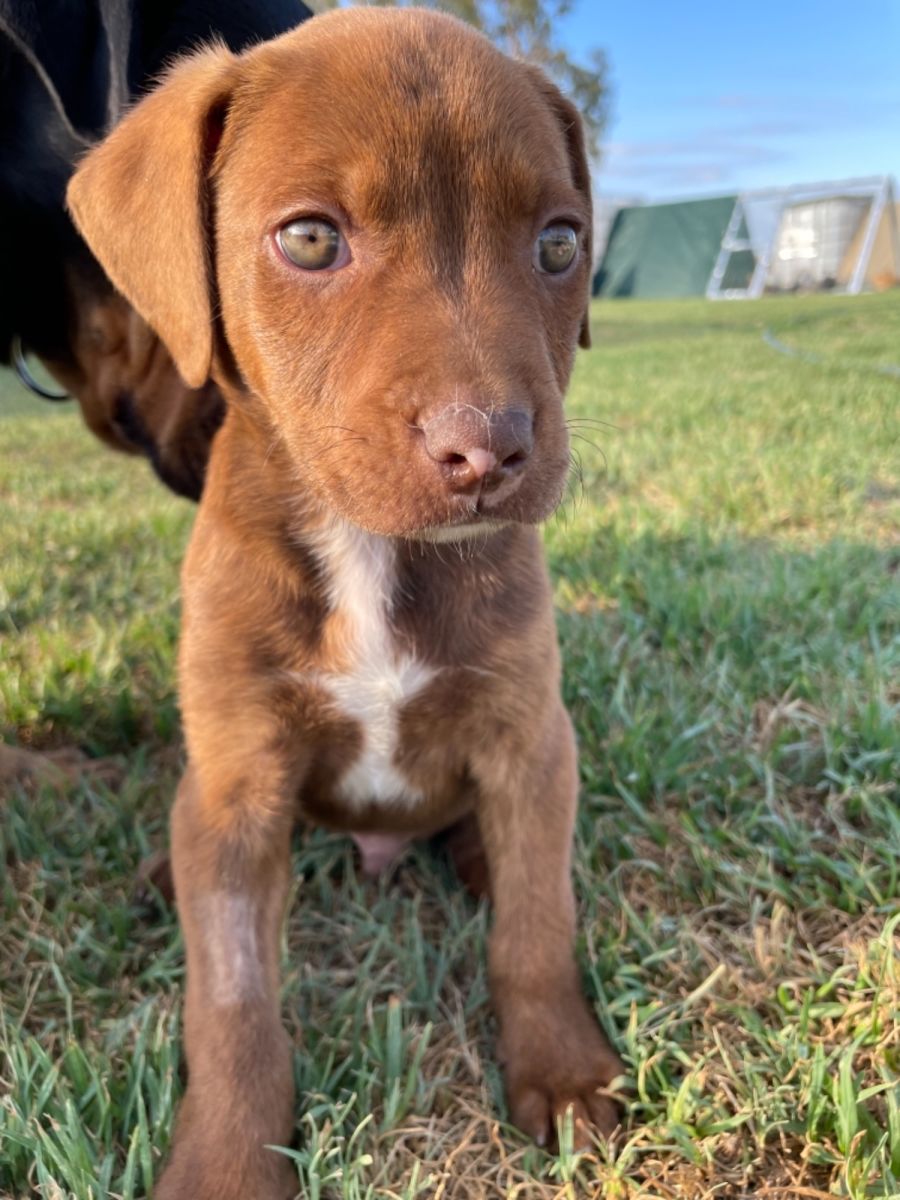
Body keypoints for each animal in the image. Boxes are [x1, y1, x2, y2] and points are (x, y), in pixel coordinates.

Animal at [68, 9, 625, 1196]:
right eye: (313, 241)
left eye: (560, 246)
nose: (489, 449)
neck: (372, 552)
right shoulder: (239, 781)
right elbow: (232, 998)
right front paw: (228, 1164)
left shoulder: (529, 735)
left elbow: (536, 923)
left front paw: (561, 1074)